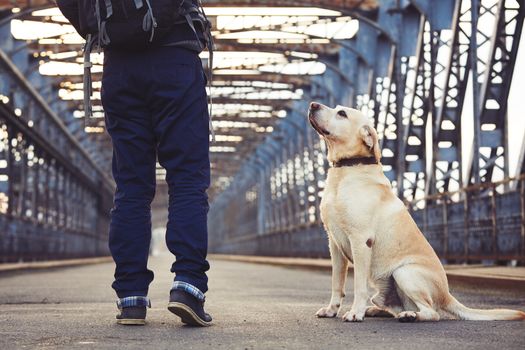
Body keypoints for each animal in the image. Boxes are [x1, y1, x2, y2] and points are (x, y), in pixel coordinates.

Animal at [308, 101, 524, 322]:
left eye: (342, 113)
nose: (313, 104)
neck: (346, 170)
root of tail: (447, 295)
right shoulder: (334, 243)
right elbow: (337, 283)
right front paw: (332, 309)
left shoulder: (361, 240)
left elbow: (359, 285)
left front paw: (355, 312)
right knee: (395, 307)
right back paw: (378, 310)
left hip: (404, 273)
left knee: (431, 312)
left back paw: (409, 315)